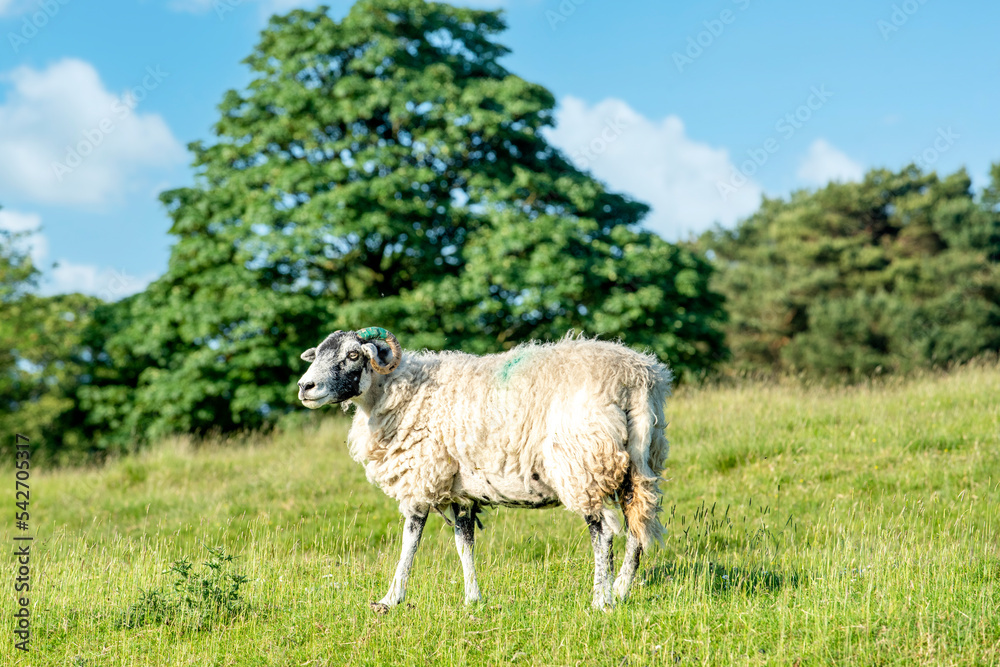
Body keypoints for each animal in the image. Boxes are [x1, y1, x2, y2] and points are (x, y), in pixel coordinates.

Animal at [297, 326, 672, 611]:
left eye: (353, 355)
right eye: (318, 355)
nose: (304, 387)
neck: (397, 392)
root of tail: (637, 376)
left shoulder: (420, 479)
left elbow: (409, 543)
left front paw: (390, 600)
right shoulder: (460, 491)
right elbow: (464, 543)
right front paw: (472, 600)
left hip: (582, 463)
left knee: (603, 532)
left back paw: (600, 600)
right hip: (641, 464)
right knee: (637, 531)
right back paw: (620, 591)